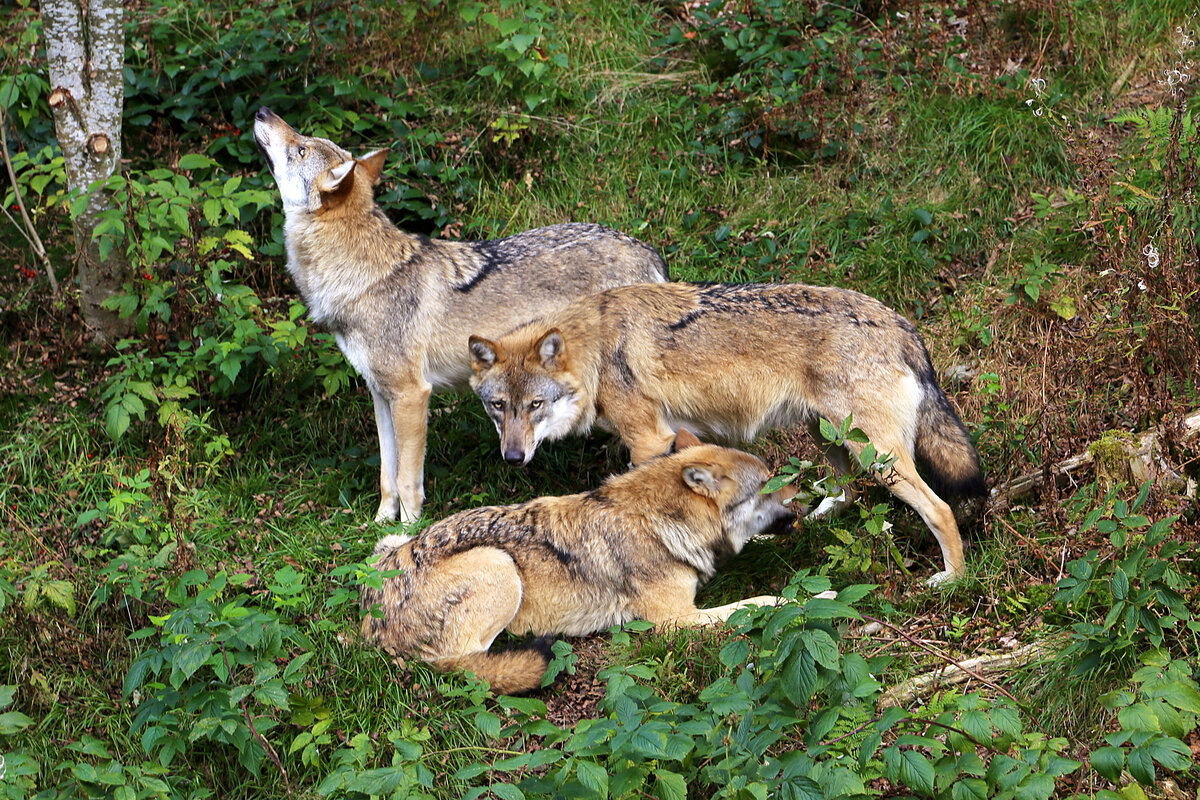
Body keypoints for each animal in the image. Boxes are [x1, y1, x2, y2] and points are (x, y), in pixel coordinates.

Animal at [253, 109, 672, 527]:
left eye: (301, 148)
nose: (263, 112)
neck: (361, 276)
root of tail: (648, 251)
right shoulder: (381, 395)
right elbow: (387, 473)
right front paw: (379, 524)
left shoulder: (412, 395)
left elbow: (407, 478)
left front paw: (408, 531)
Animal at [360, 431, 801, 695]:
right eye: (770, 483)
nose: (803, 493)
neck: (658, 520)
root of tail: (369, 631)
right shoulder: (675, 621)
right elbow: (755, 605)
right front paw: (807, 599)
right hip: (498, 564)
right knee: (463, 665)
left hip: (390, 544)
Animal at [465, 284, 984, 585]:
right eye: (498, 407)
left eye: (535, 405)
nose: (512, 457)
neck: (596, 349)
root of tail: (903, 325)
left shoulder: (650, 440)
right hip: (826, 435)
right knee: (846, 492)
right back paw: (809, 517)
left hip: (876, 456)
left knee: (939, 508)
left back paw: (954, 579)